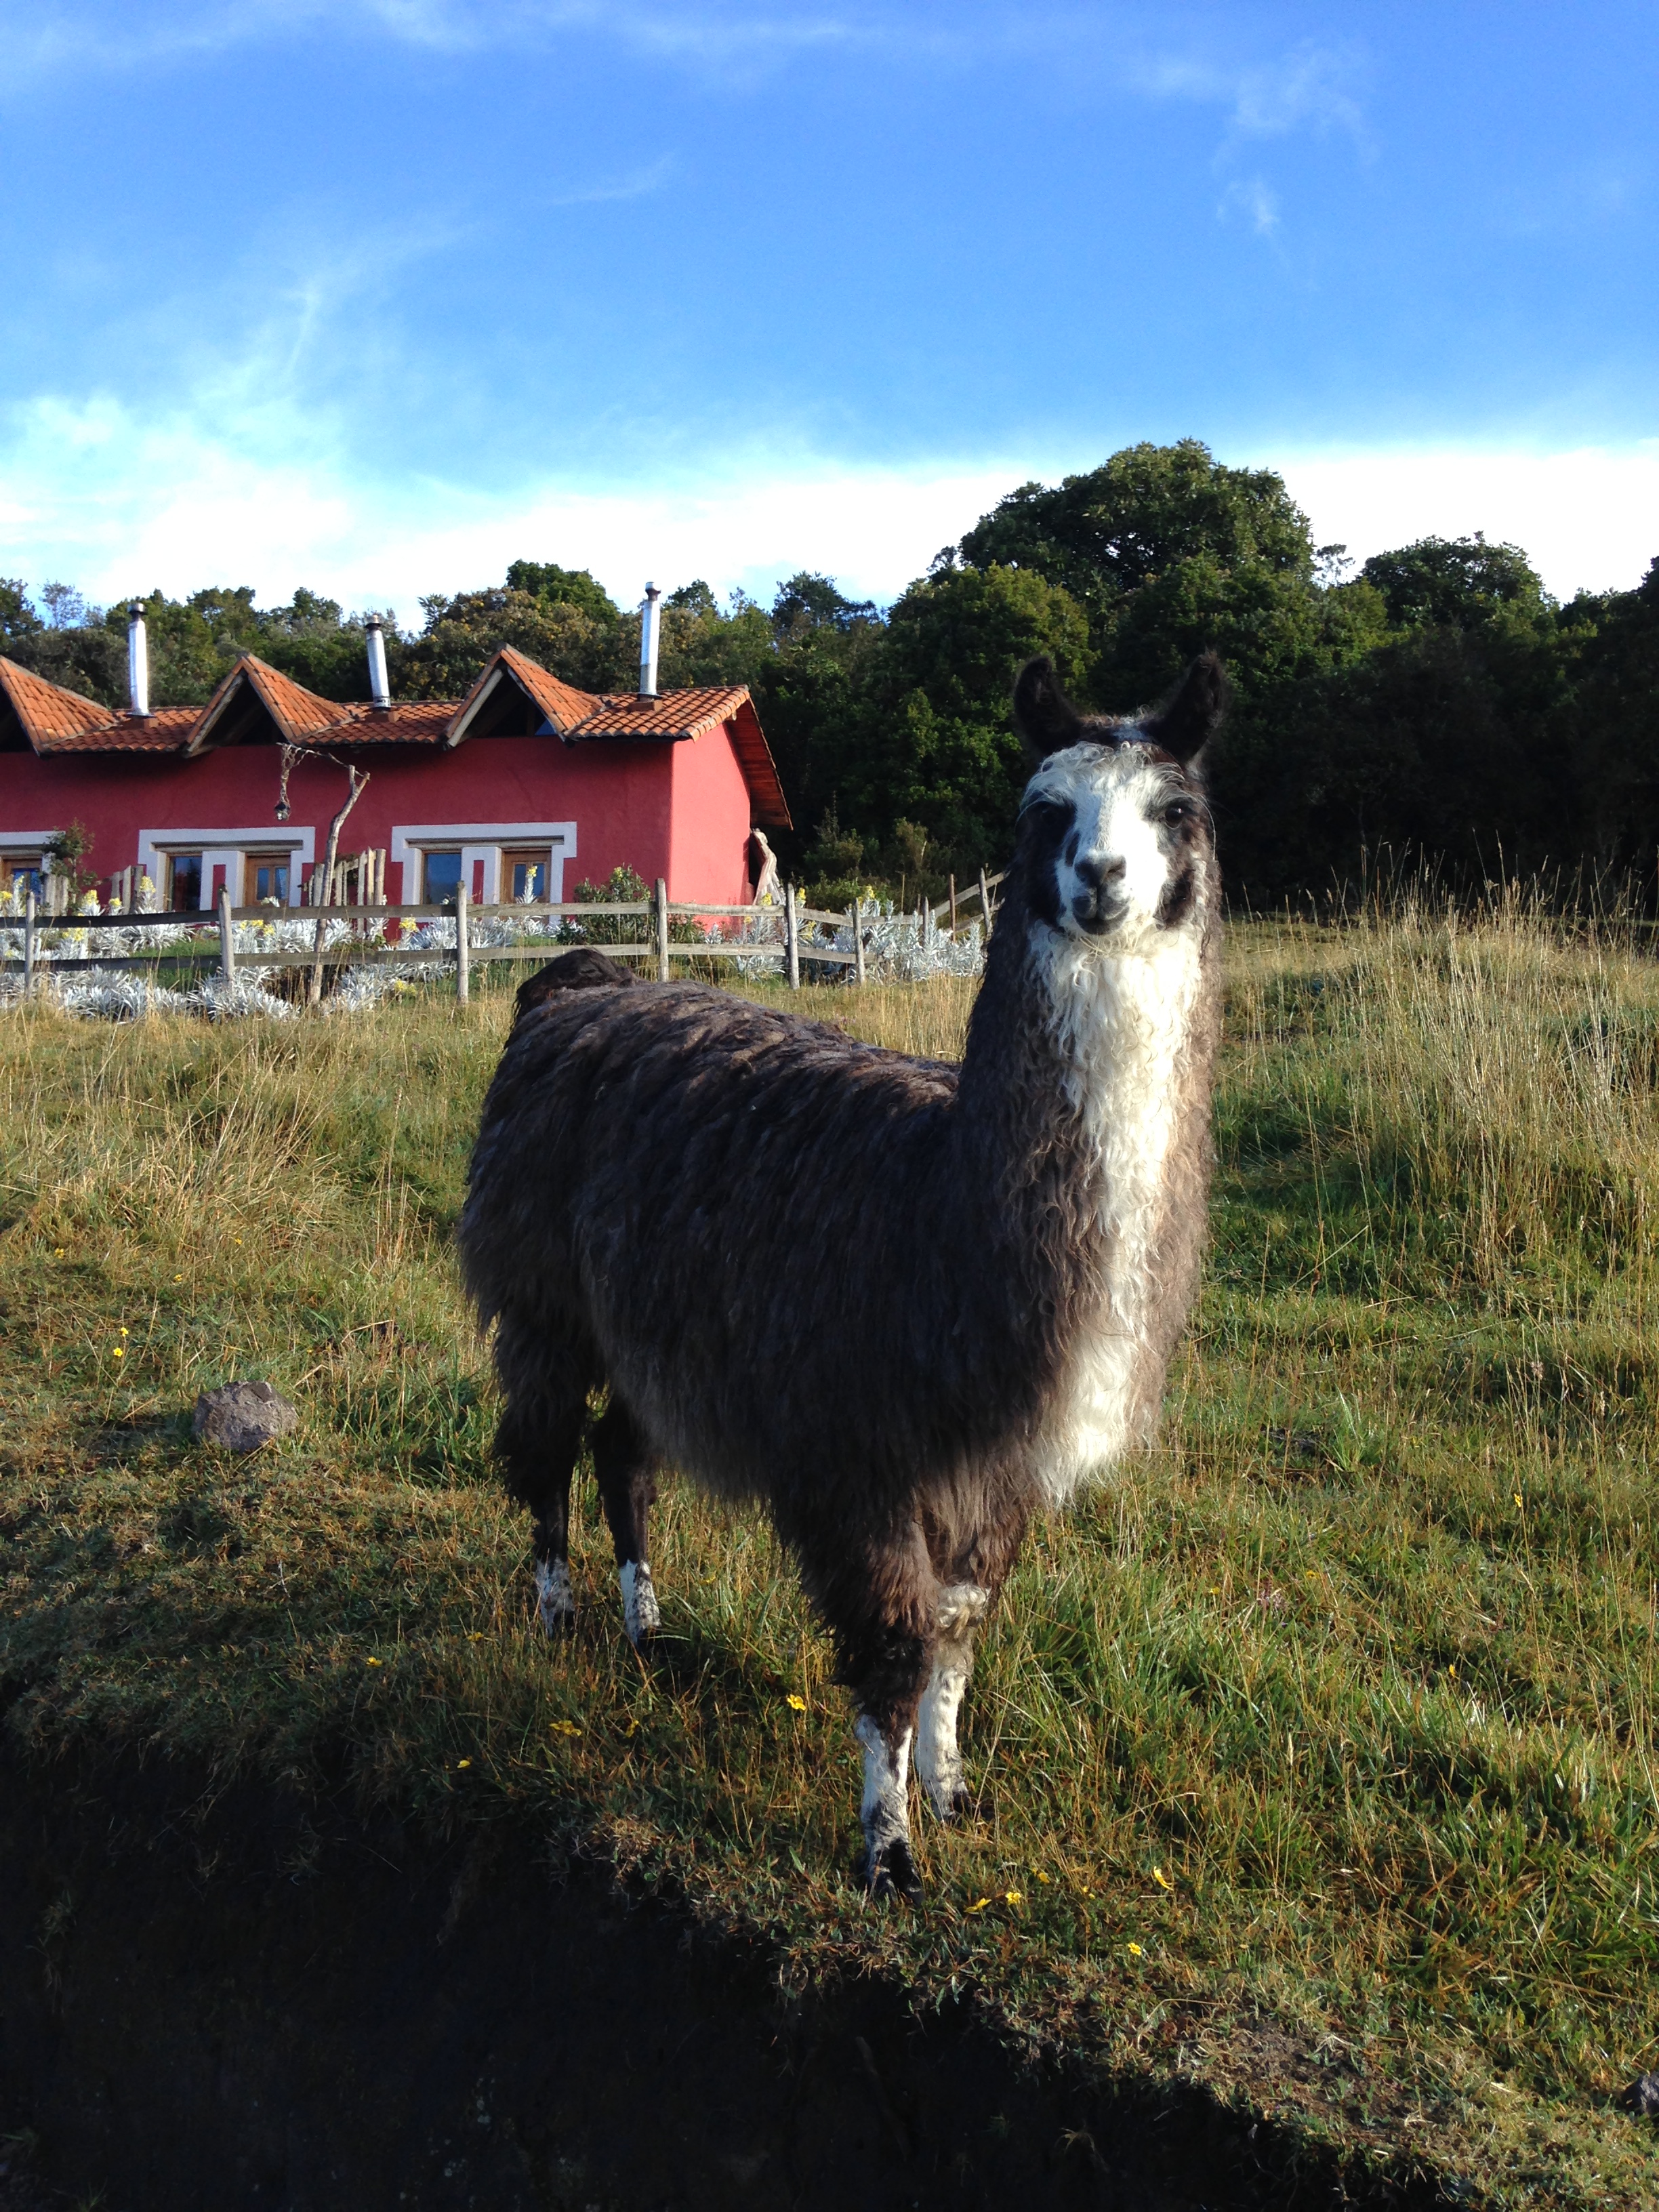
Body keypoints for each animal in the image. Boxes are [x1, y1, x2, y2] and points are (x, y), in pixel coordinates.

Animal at [460, 652, 1227, 1900]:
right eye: (1046, 811)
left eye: (1173, 810)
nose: (1101, 881)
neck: (942, 1214)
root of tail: (576, 986)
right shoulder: (855, 1447)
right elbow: (896, 1644)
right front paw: (887, 1850)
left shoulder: (995, 1464)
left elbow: (961, 1627)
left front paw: (955, 1793)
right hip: (542, 1287)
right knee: (544, 1445)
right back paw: (556, 1614)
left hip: (659, 1316)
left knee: (624, 1453)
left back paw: (647, 1627)